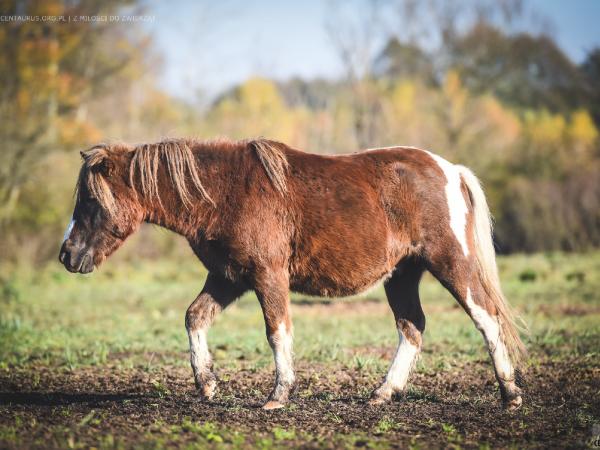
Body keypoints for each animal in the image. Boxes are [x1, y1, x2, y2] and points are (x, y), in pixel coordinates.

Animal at [58, 139, 524, 410]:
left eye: (91, 200)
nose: (67, 255)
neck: (225, 192)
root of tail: (451, 169)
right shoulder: (228, 278)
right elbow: (194, 317)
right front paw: (207, 384)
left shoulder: (267, 276)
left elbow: (276, 331)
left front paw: (278, 396)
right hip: (402, 275)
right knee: (413, 328)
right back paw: (382, 394)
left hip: (451, 263)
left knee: (486, 319)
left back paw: (510, 395)